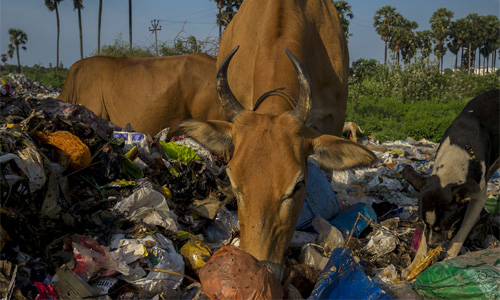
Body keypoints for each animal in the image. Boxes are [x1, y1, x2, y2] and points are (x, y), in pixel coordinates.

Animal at [402, 89, 500, 278]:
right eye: (424, 223)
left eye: (444, 226)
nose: (433, 246)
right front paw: (415, 264)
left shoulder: (478, 195)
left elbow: (463, 229)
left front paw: (449, 258)